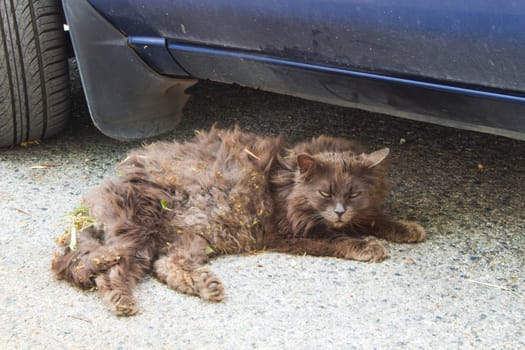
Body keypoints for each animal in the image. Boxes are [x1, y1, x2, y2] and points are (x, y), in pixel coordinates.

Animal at [51, 126, 424, 318]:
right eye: (324, 193)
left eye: (354, 194)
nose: (340, 211)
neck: (284, 180)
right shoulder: (286, 233)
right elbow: (336, 240)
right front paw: (367, 246)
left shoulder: (359, 214)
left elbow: (377, 219)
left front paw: (407, 228)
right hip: (139, 230)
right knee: (110, 272)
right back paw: (123, 301)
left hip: (190, 238)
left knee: (165, 265)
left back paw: (206, 286)